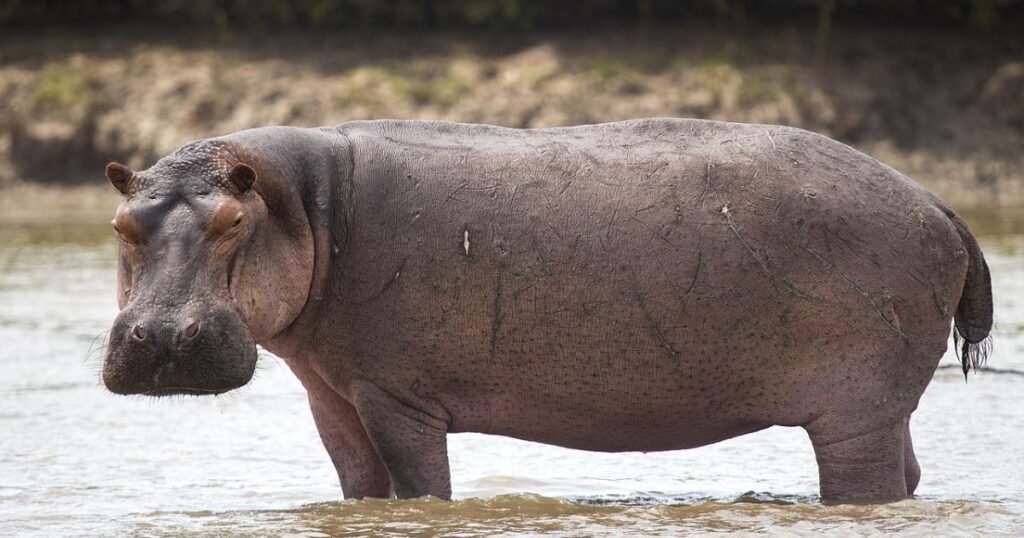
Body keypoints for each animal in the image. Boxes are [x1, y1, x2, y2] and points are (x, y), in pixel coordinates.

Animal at [102, 118, 992, 503]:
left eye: (231, 222)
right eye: (121, 224)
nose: (162, 338)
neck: (307, 206)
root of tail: (939, 204)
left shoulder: (397, 397)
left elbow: (420, 488)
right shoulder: (333, 394)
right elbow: (360, 488)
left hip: (855, 410)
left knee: (868, 481)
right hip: (883, 406)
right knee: (909, 475)